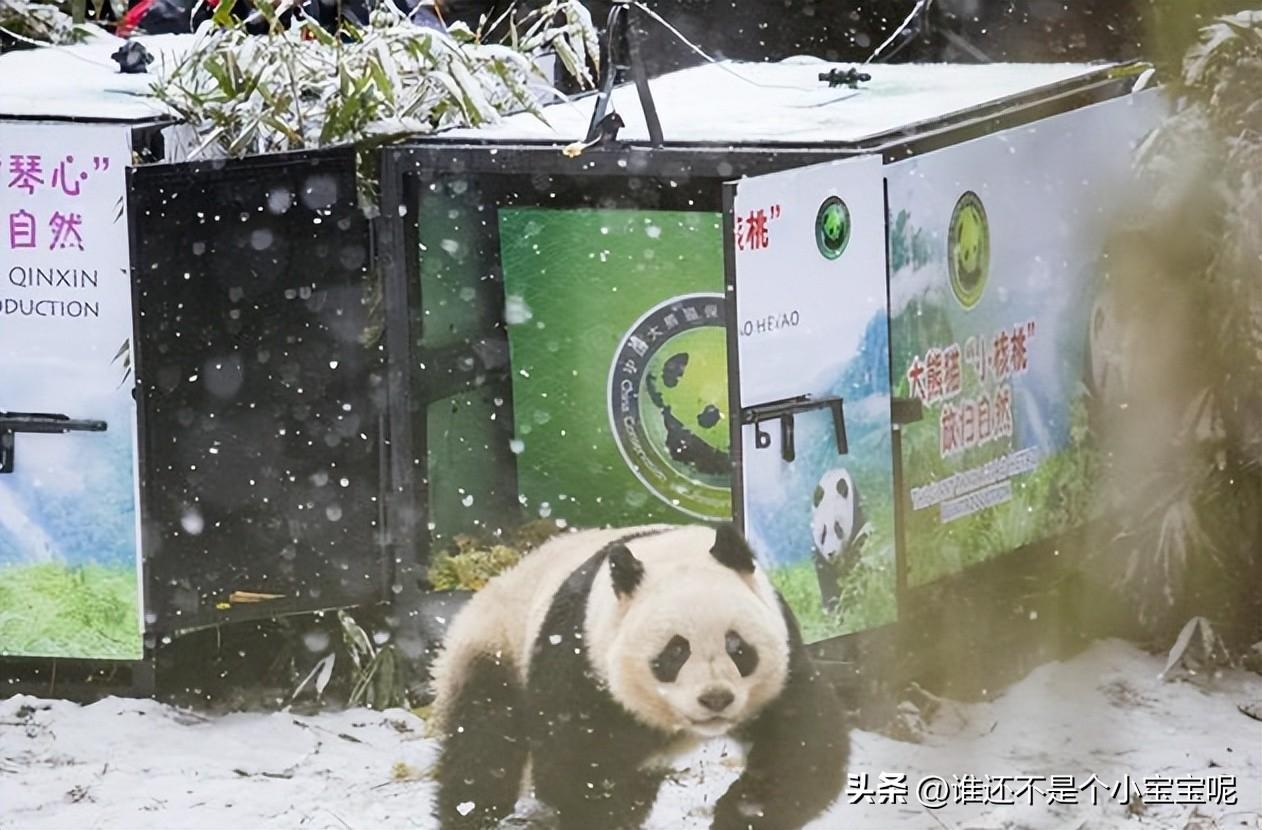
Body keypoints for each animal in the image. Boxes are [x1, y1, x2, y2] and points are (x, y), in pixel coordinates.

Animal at [429, 524, 853, 827]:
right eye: (675, 652)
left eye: (737, 646)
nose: (716, 699)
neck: (671, 551)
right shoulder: (581, 660)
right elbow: (582, 769)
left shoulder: (783, 656)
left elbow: (802, 745)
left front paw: (739, 814)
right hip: (495, 645)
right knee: (483, 746)